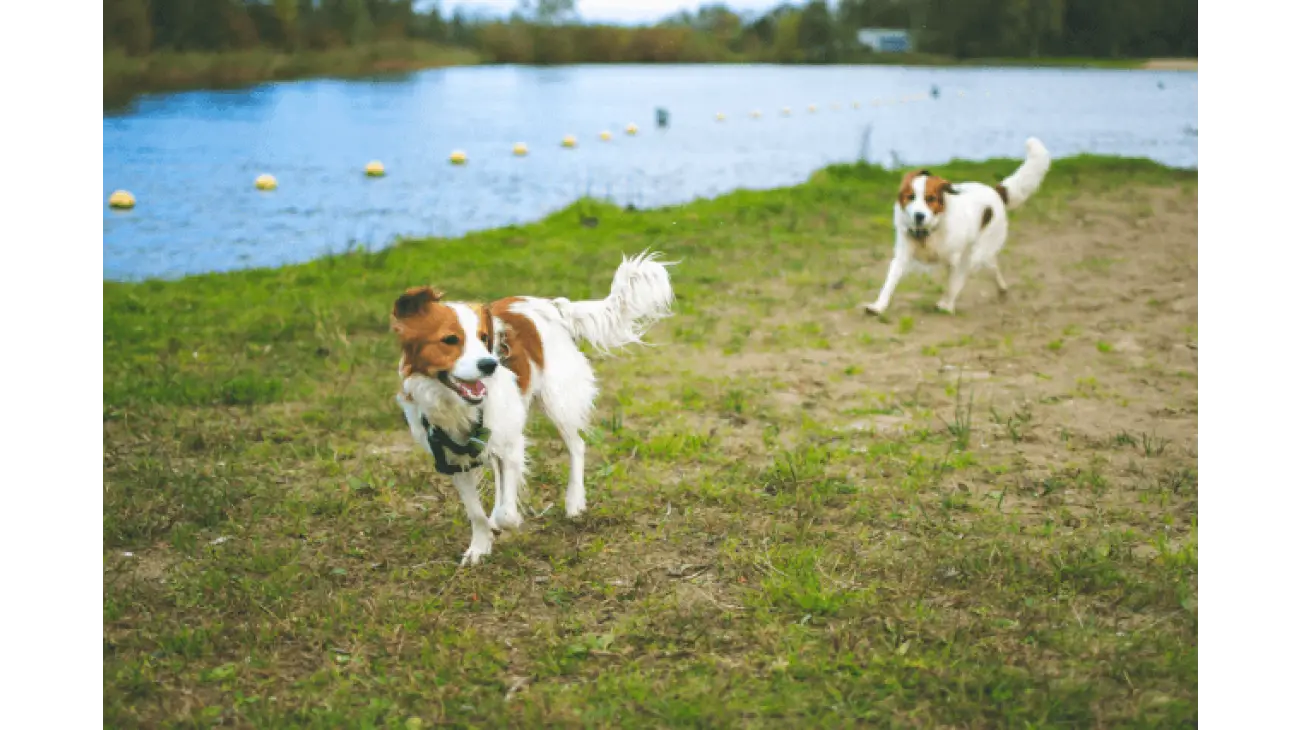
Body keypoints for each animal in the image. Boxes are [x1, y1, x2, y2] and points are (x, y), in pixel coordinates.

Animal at [390, 249, 676, 563]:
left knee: (577, 446)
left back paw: (574, 500)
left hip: (558, 401)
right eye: (450, 340)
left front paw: (507, 520)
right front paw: (479, 547)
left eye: (484, 338)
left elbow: (504, 512)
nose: (490, 365)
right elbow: (476, 513)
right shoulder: (453, 461)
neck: (456, 405)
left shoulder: (511, 443)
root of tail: (552, 305)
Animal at [857, 136, 1050, 315]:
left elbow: (954, 284)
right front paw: (878, 306)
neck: (928, 232)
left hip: (980, 252)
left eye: (930, 199)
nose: (919, 216)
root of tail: (995, 192)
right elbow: (890, 281)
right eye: (911, 197)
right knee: (993, 266)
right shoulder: (903, 255)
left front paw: (946, 305)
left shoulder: (961, 258)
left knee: (985, 266)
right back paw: (1002, 290)